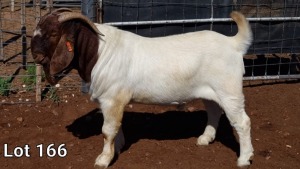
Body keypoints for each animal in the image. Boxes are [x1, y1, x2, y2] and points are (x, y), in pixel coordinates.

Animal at [31, 8, 253, 168]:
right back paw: (205, 139)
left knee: (242, 122)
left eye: (53, 33)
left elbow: (107, 130)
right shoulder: (111, 101)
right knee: (214, 111)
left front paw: (103, 159)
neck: (99, 51)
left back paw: (244, 159)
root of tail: (233, 43)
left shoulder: (112, 98)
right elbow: (116, 126)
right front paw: (118, 148)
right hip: (211, 92)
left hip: (229, 91)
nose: (35, 56)